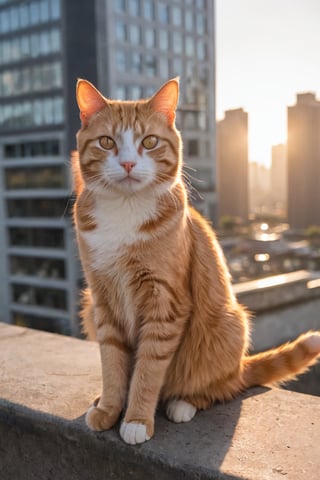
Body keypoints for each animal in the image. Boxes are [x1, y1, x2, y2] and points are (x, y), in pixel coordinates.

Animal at [72, 77, 320, 444]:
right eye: (106, 142)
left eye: (149, 142)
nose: (128, 164)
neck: (125, 211)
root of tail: (239, 366)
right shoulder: (102, 300)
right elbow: (112, 362)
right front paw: (110, 408)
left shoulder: (166, 302)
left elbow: (148, 369)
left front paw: (137, 419)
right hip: (88, 305)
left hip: (228, 326)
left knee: (222, 387)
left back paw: (183, 403)